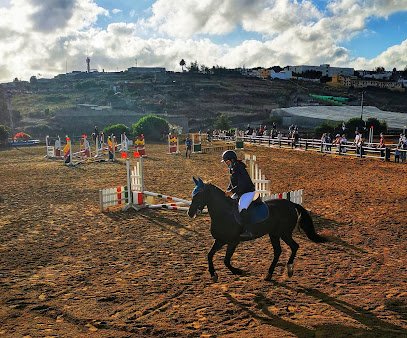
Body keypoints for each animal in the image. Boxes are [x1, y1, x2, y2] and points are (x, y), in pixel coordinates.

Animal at [189, 177, 328, 282]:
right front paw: (213, 274)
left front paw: (237, 271)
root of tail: (292, 204)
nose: (190, 213)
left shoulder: (233, 242)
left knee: (294, 246)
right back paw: (269, 274)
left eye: (199, 194)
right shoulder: (220, 240)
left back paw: (289, 269)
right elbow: (209, 255)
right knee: (278, 251)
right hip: (274, 234)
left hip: (284, 233)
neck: (224, 213)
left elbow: (226, 260)